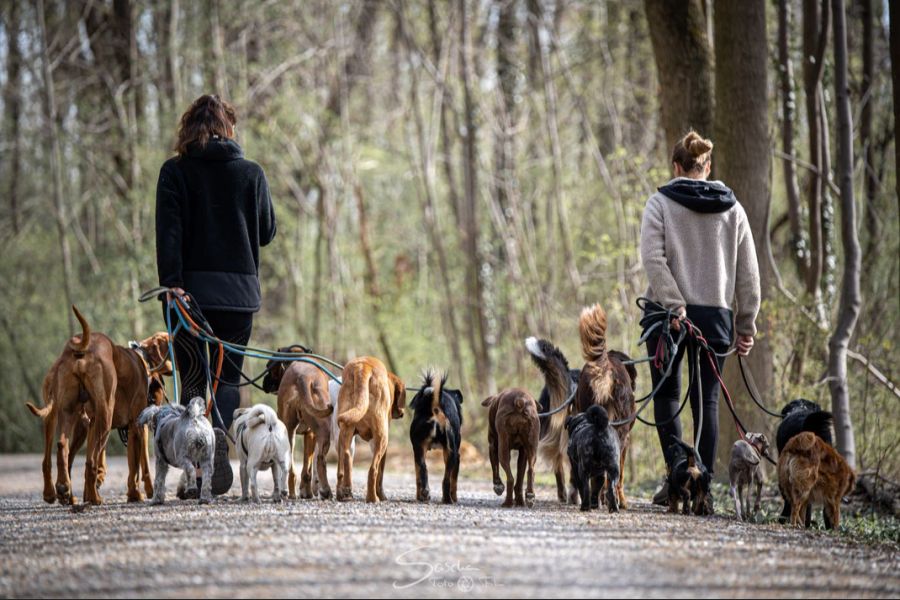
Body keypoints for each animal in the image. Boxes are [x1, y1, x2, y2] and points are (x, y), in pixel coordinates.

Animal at [27, 310, 168, 506]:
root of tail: (81, 348)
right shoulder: (136, 427)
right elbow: (137, 466)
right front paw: (136, 494)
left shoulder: (96, 423)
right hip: (103, 417)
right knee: (89, 461)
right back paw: (92, 498)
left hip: (68, 415)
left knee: (63, 450)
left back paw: (62, 491)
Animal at [262, 350, 336, 500]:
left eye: (269, 368)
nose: (263, 382)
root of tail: (303, 377)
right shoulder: (311, 434)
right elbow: (308, 468)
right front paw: (306, 491)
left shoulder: (309, 435)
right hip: (322, 431)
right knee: (320, 460)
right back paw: (324, 491)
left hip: (289, 432)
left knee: (291, 468)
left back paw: (290, 492)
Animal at [334, 358, 404, 504]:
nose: (402, 413)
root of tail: (363, 367)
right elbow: (380, 474)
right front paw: (382, 496)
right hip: (382, 437)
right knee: (373, 470)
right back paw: (372, 498)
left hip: (345, 429)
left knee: (345, 459)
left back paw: (344, 492)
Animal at [410, 370, 464, 502]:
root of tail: (435, 408)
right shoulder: (457, 455)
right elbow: (454, 481)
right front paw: (455, 497)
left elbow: (418, 476)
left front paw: (419, 496)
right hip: (450, 453)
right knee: (446, 480)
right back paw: (448, 500)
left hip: (420, 450)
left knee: (424, 470)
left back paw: (427, 494)